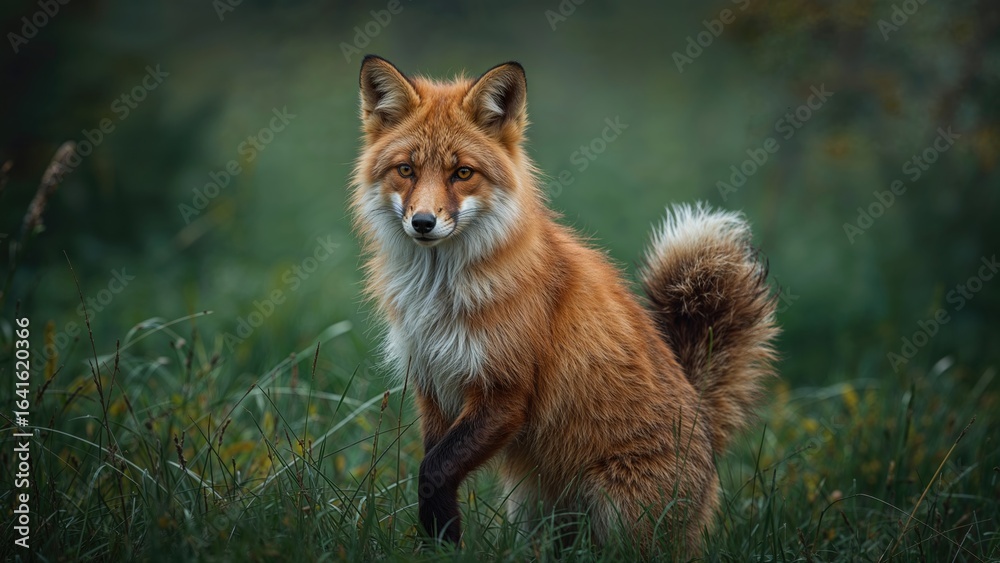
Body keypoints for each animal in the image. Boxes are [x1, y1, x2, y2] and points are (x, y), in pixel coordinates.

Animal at [350, 55, 779, 555]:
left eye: (462, 173)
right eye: (406, 170)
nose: (422, 222)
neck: (438, 297)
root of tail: (707, 432)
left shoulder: (506, 390)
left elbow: (433, 470)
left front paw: (445, 546)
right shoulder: (433, 384)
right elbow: (434, 470)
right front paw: (441, 545)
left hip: (618, 514)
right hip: (535, 512)